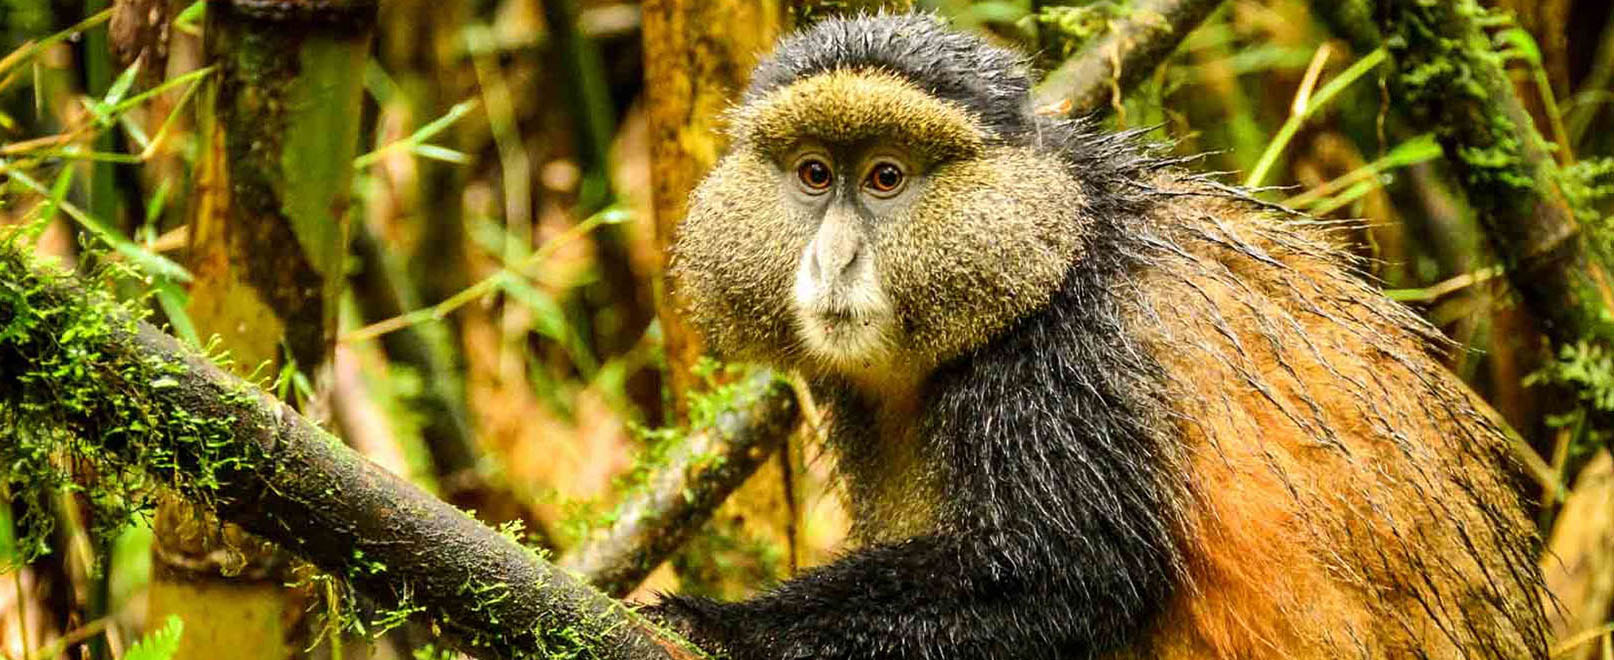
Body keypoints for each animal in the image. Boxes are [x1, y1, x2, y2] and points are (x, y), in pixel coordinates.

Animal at [655, 12, 1550, 660]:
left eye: (886, 177)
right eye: (814, 174)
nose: (833, 261)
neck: (1057, 241)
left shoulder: (1065, 365)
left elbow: (1069, 577)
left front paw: (719, 624)